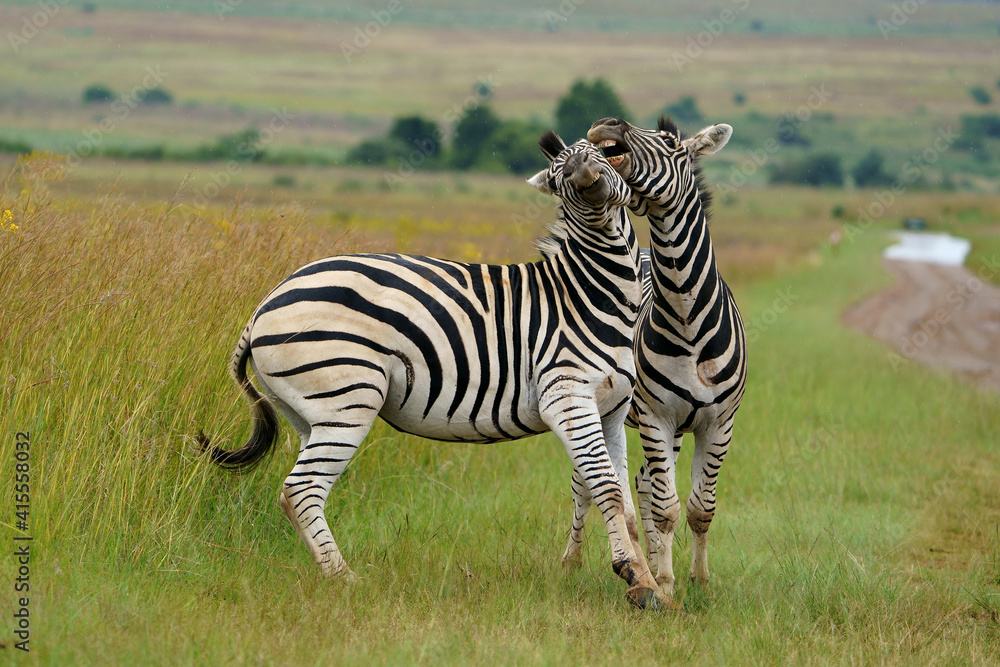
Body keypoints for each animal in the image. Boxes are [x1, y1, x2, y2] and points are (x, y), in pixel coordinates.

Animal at [199, 132, 669, 609]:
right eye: (560, 179)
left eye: (600, 156)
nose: (585, 177)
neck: (592, 295)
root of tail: (265, 304)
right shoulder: (567, 397)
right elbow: (606, 488)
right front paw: (634, 575)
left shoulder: (611, 410)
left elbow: (623, 501)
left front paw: (645, 583)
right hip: (347, 401)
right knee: (301, 490)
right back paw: (345, 579)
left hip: (309, 413)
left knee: (297, 489)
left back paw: (331, 572)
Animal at [561, 116, 747, 599]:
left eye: (669, 142)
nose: (606, 123)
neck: (687, 317)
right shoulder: (654, 416)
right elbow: (667, 509)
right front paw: (663, 582)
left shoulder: (719, 422)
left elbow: (700, 508)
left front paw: (699, 581)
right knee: (586, 485)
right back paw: (572, 562)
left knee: (645, 483)